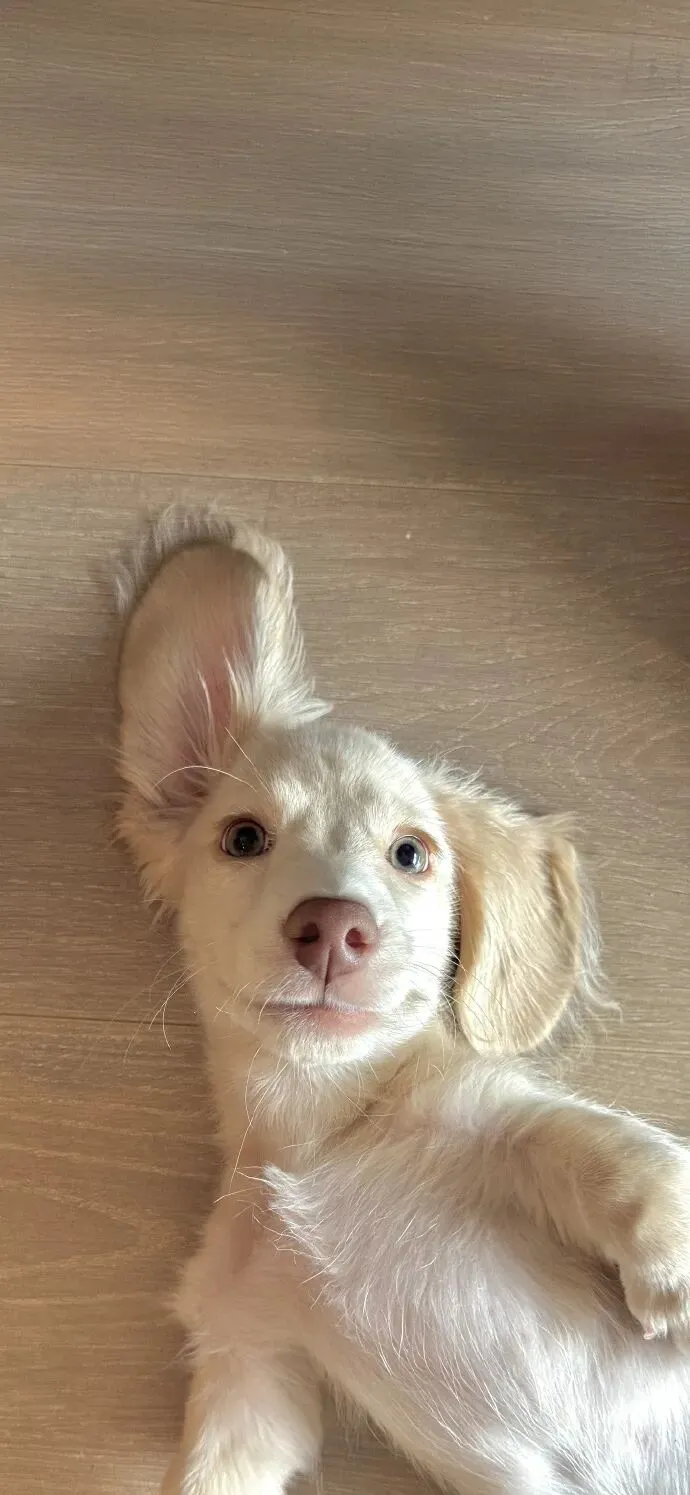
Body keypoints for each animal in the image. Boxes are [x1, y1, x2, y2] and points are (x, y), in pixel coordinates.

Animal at [116, 510, 690, 1495]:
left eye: (411, 853)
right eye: (244, 837)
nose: (332, 928)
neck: (323, 1135)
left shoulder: (497, 1115)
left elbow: (614, 1157)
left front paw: (675, 1270)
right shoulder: (252, 1363)